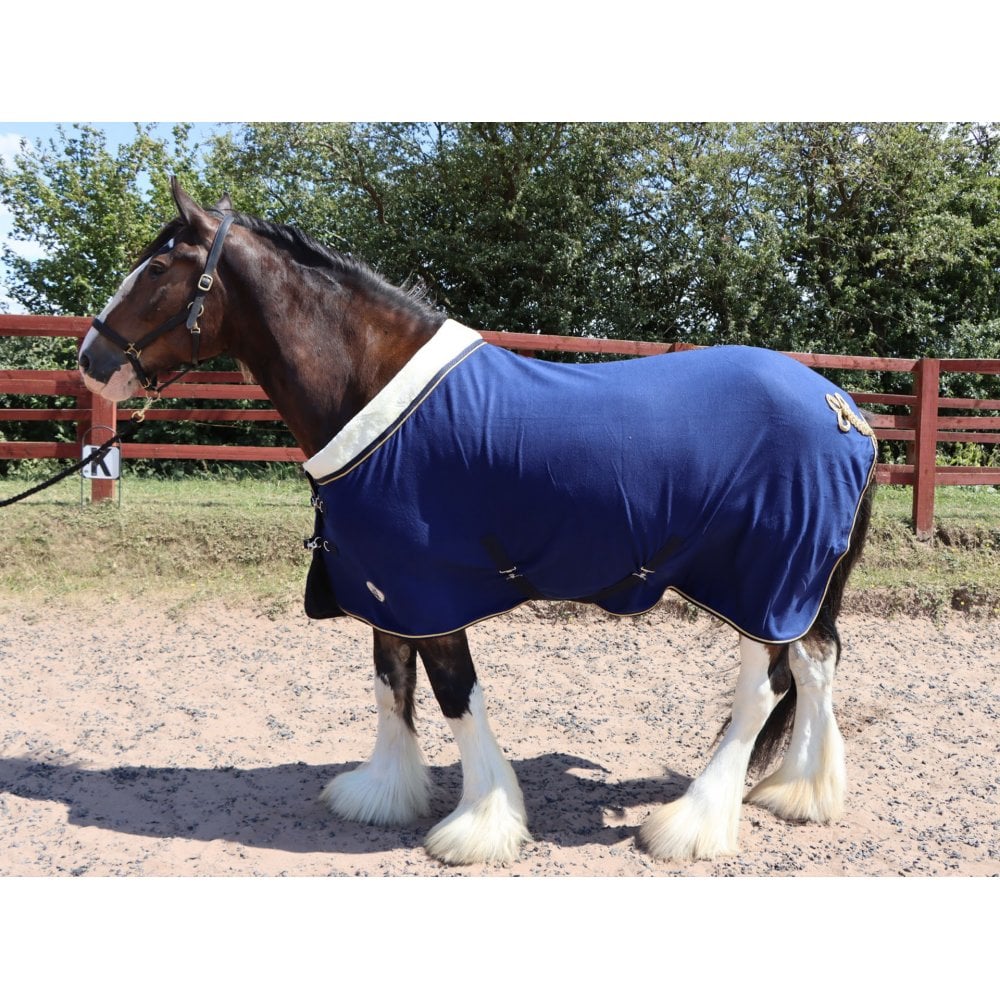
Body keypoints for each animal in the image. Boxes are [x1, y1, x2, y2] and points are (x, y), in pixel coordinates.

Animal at [78, 179, 876, 866]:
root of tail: (844, 410)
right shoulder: (385, 583)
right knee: (817, 661)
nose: (91, 361)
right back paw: (799, 792)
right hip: (801, 582)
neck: (375, 389)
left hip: (764, 577)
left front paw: (481, 825)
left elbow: (454, 695)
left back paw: (694, 823)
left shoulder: (432, 588)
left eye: (157, 267)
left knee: (764, 688)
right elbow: (390, 682)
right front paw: (384, 792)